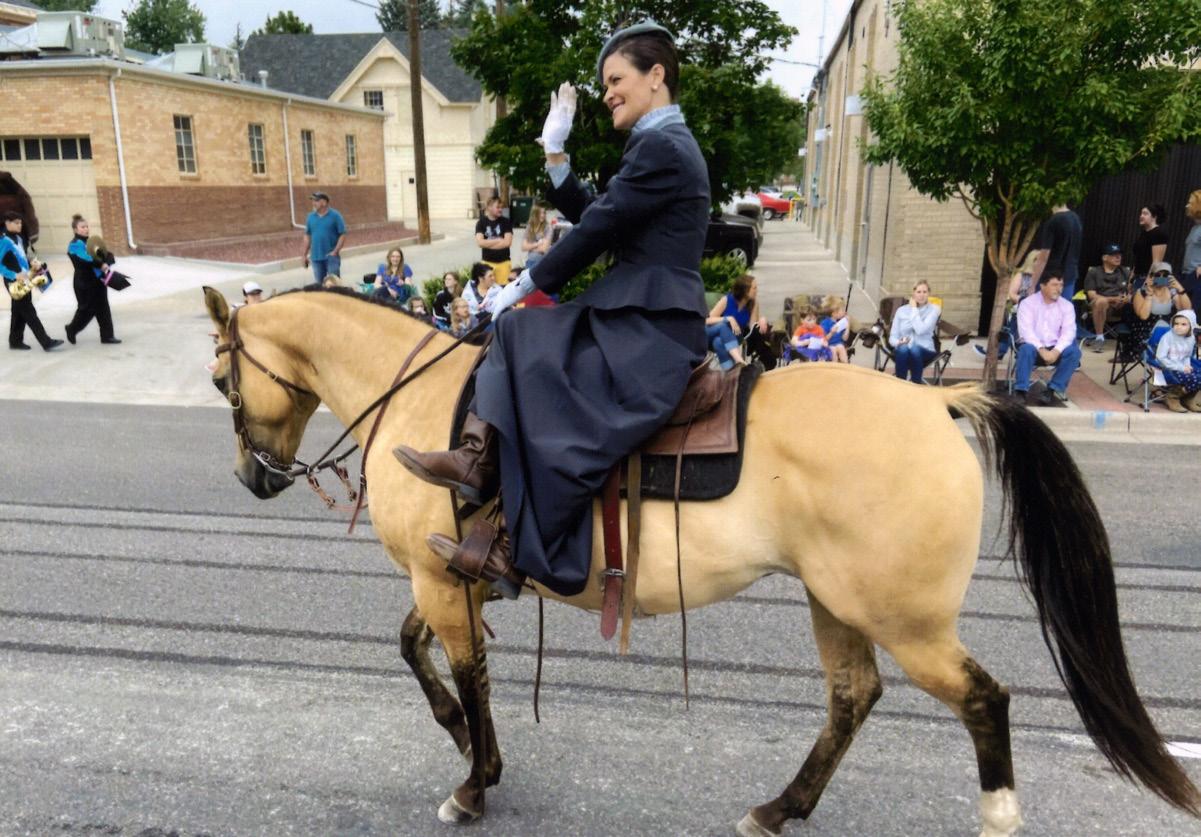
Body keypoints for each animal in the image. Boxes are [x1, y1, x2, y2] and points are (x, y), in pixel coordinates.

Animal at [202, 285, 1199, 836]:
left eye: (219, 379)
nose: (252, 477)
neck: (427, 400)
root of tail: (936, 402)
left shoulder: (440, 577)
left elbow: (460, 668)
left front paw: (472, 781)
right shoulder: (452, 574)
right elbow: (420, 652)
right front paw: (464, 743)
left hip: (904, 617)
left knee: (983, 699)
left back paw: (995, 815)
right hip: (837, 601)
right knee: (852, 697)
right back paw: (780, 807)